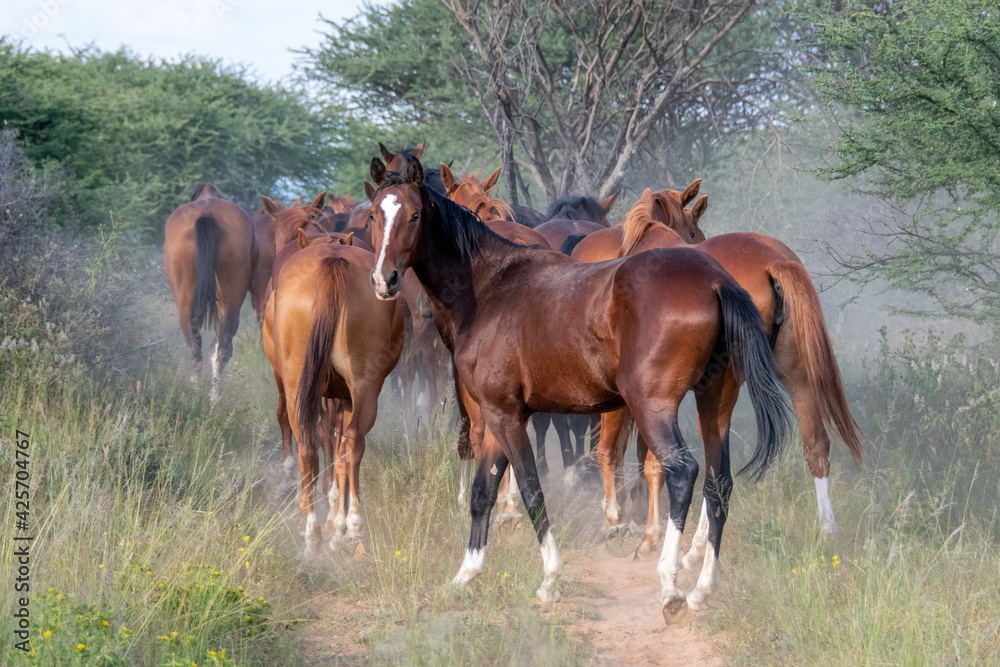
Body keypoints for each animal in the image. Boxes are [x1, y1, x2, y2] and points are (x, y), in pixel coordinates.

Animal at [164, 183, 258, 402]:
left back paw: (197, 395)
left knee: (197, 348)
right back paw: (214, 398)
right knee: (219, 348)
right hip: (227, 301)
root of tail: (207, 214)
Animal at [267, 231, 404, 555]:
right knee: (347, 444)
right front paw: (335, 520)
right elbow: (338, 450)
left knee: (313, 443)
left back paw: (320, 530)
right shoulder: (342, 396)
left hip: (298, 384)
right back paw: (343, 528)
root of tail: (333, 262)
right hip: (362, 386)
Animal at [367, 156, 791, 620]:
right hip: (714, 402)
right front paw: (466, 575)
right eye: (373, 215)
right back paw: (701, 590)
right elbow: (483, 492)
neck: (489, 288)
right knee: (719, 483)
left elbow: (530, 488)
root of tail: (716, 282)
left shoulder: (505, 415)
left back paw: (670, 583)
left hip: (653, 407)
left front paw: (551, 579)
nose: (385, 280)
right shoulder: (498, 415)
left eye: (415, 215)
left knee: (682, 472)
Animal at [573, 184, 863, 546]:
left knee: (712, 465)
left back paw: (697, 542)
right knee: (814, 444)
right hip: (795, 377)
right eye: (693, 231)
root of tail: (775, 260)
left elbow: (622, 451)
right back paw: (827, 529)